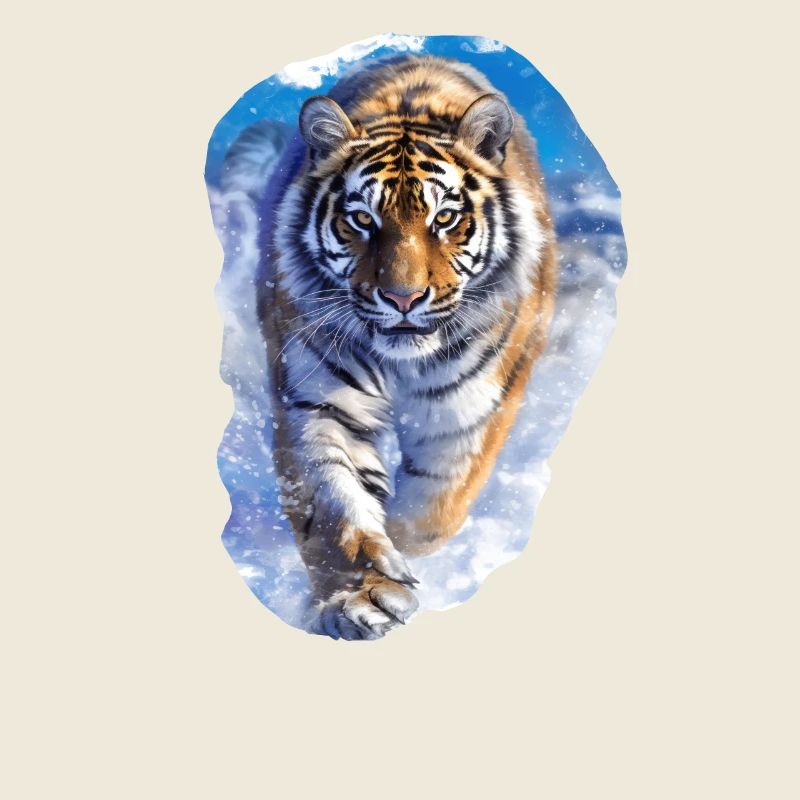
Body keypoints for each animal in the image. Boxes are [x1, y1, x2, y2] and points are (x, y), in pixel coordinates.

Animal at [255, 54, 557, 640]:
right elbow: (336, 507)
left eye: (445, 219)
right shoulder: (319, 402)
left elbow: (433, 511)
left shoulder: (468, 411)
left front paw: (402, 550)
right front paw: (362, 597)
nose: (403, 298)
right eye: (361, 220)